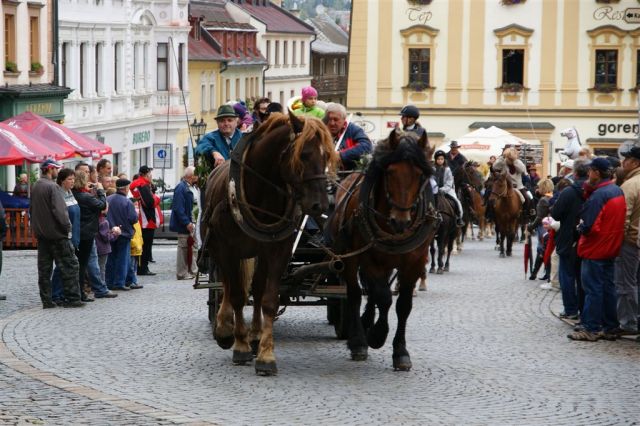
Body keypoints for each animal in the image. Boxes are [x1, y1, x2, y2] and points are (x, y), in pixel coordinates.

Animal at [202, 113, 338, 376]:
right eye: (304, 154)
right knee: (226, 285)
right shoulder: (228, 249)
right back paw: (225, 329)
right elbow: (236, 295)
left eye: (327, 155)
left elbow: (268, 300)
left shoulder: (277, 250)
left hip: (259, 252)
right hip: (217, 249)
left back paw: (254, 335)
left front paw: (265, 355)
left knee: (255, 289)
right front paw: (240, 346)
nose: (320, 205)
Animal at [328, 128, 438, 372]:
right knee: (356, 294)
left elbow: (403, 305)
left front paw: (401, 352)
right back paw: (358, 339)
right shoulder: (369, 258)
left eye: (420, 175)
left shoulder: (415, 262)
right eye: (389, 172)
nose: (401, 221)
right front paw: (377, 335)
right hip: (350, 259)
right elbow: (384, 297)